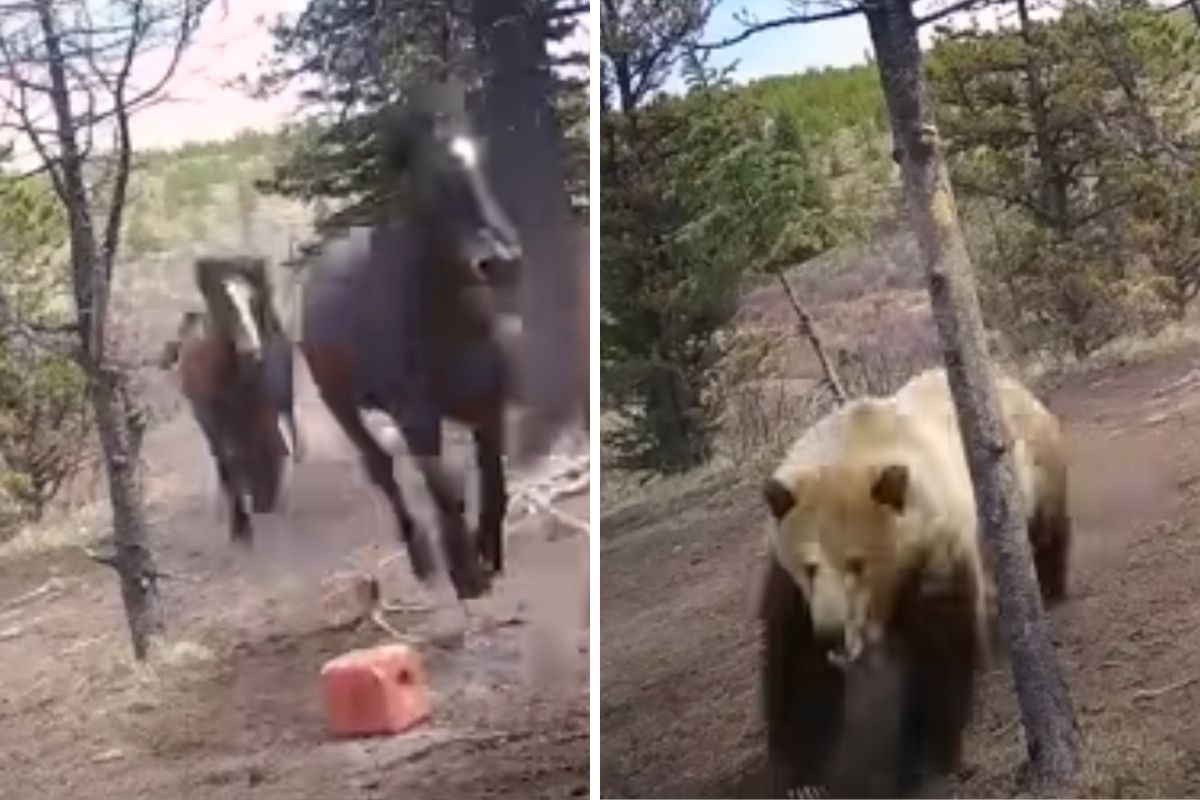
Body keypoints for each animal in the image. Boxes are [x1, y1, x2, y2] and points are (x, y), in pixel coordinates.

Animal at [159, 260, 297, 542]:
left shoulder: (257, 412)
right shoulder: (212, 414)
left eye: (255, 302)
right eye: (225, 306)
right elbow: (231, 454)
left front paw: (262, 497)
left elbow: (264, 448)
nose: (252, 350)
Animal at [298, 104, 520, 599]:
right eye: (433, 178)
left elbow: (493, 482)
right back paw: (422, 557)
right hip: (340, 405)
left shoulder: (489, 408)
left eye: (486, 162)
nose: (501, 262)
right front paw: (466, 573)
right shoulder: (417, 420)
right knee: (381, 468)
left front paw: (488, 553)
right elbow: (447, 489)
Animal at [753, 367, 1075, 796]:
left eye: (858, 563)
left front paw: (924, 764)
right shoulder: (791, 586)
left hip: (1029, 465)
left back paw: (1050, 589)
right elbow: (798, 667)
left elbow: (939, 650)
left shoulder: (934, 541)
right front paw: (803, 780)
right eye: (808, 567)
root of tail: (1008, 378)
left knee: (1045, 527)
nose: (833, 633)